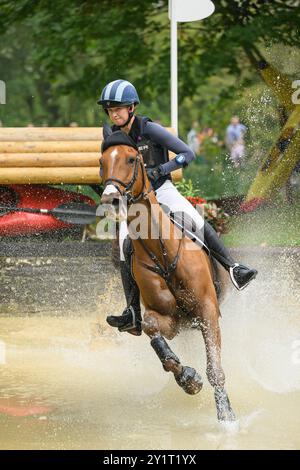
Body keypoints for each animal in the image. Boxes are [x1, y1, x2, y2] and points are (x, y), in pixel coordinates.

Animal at [99, 131, 236, 422]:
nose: (111, 198)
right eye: (101, 161)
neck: (162, 252)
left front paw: (227, 416)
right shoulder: (169, 319)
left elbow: (215, 368)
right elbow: (152, 329)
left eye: (131, 159)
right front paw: (188, 379)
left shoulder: (207, 309)